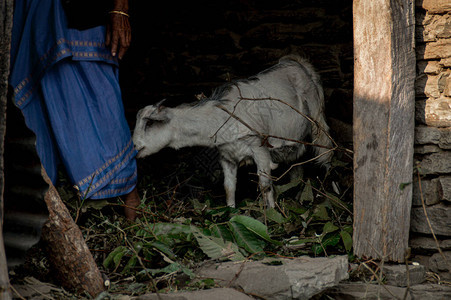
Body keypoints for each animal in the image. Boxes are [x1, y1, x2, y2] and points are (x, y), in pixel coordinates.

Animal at [132, 55, 334, 207]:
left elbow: (264, 185)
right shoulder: (226, 156)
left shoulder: (260, 149)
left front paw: (270, 216)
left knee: (326, 153)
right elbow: (229, 187)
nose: (134, 146)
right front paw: (231, 214)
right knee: (297, 167)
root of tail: (298, 63)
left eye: (149, 124)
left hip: (318, 120)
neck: (221, 118)